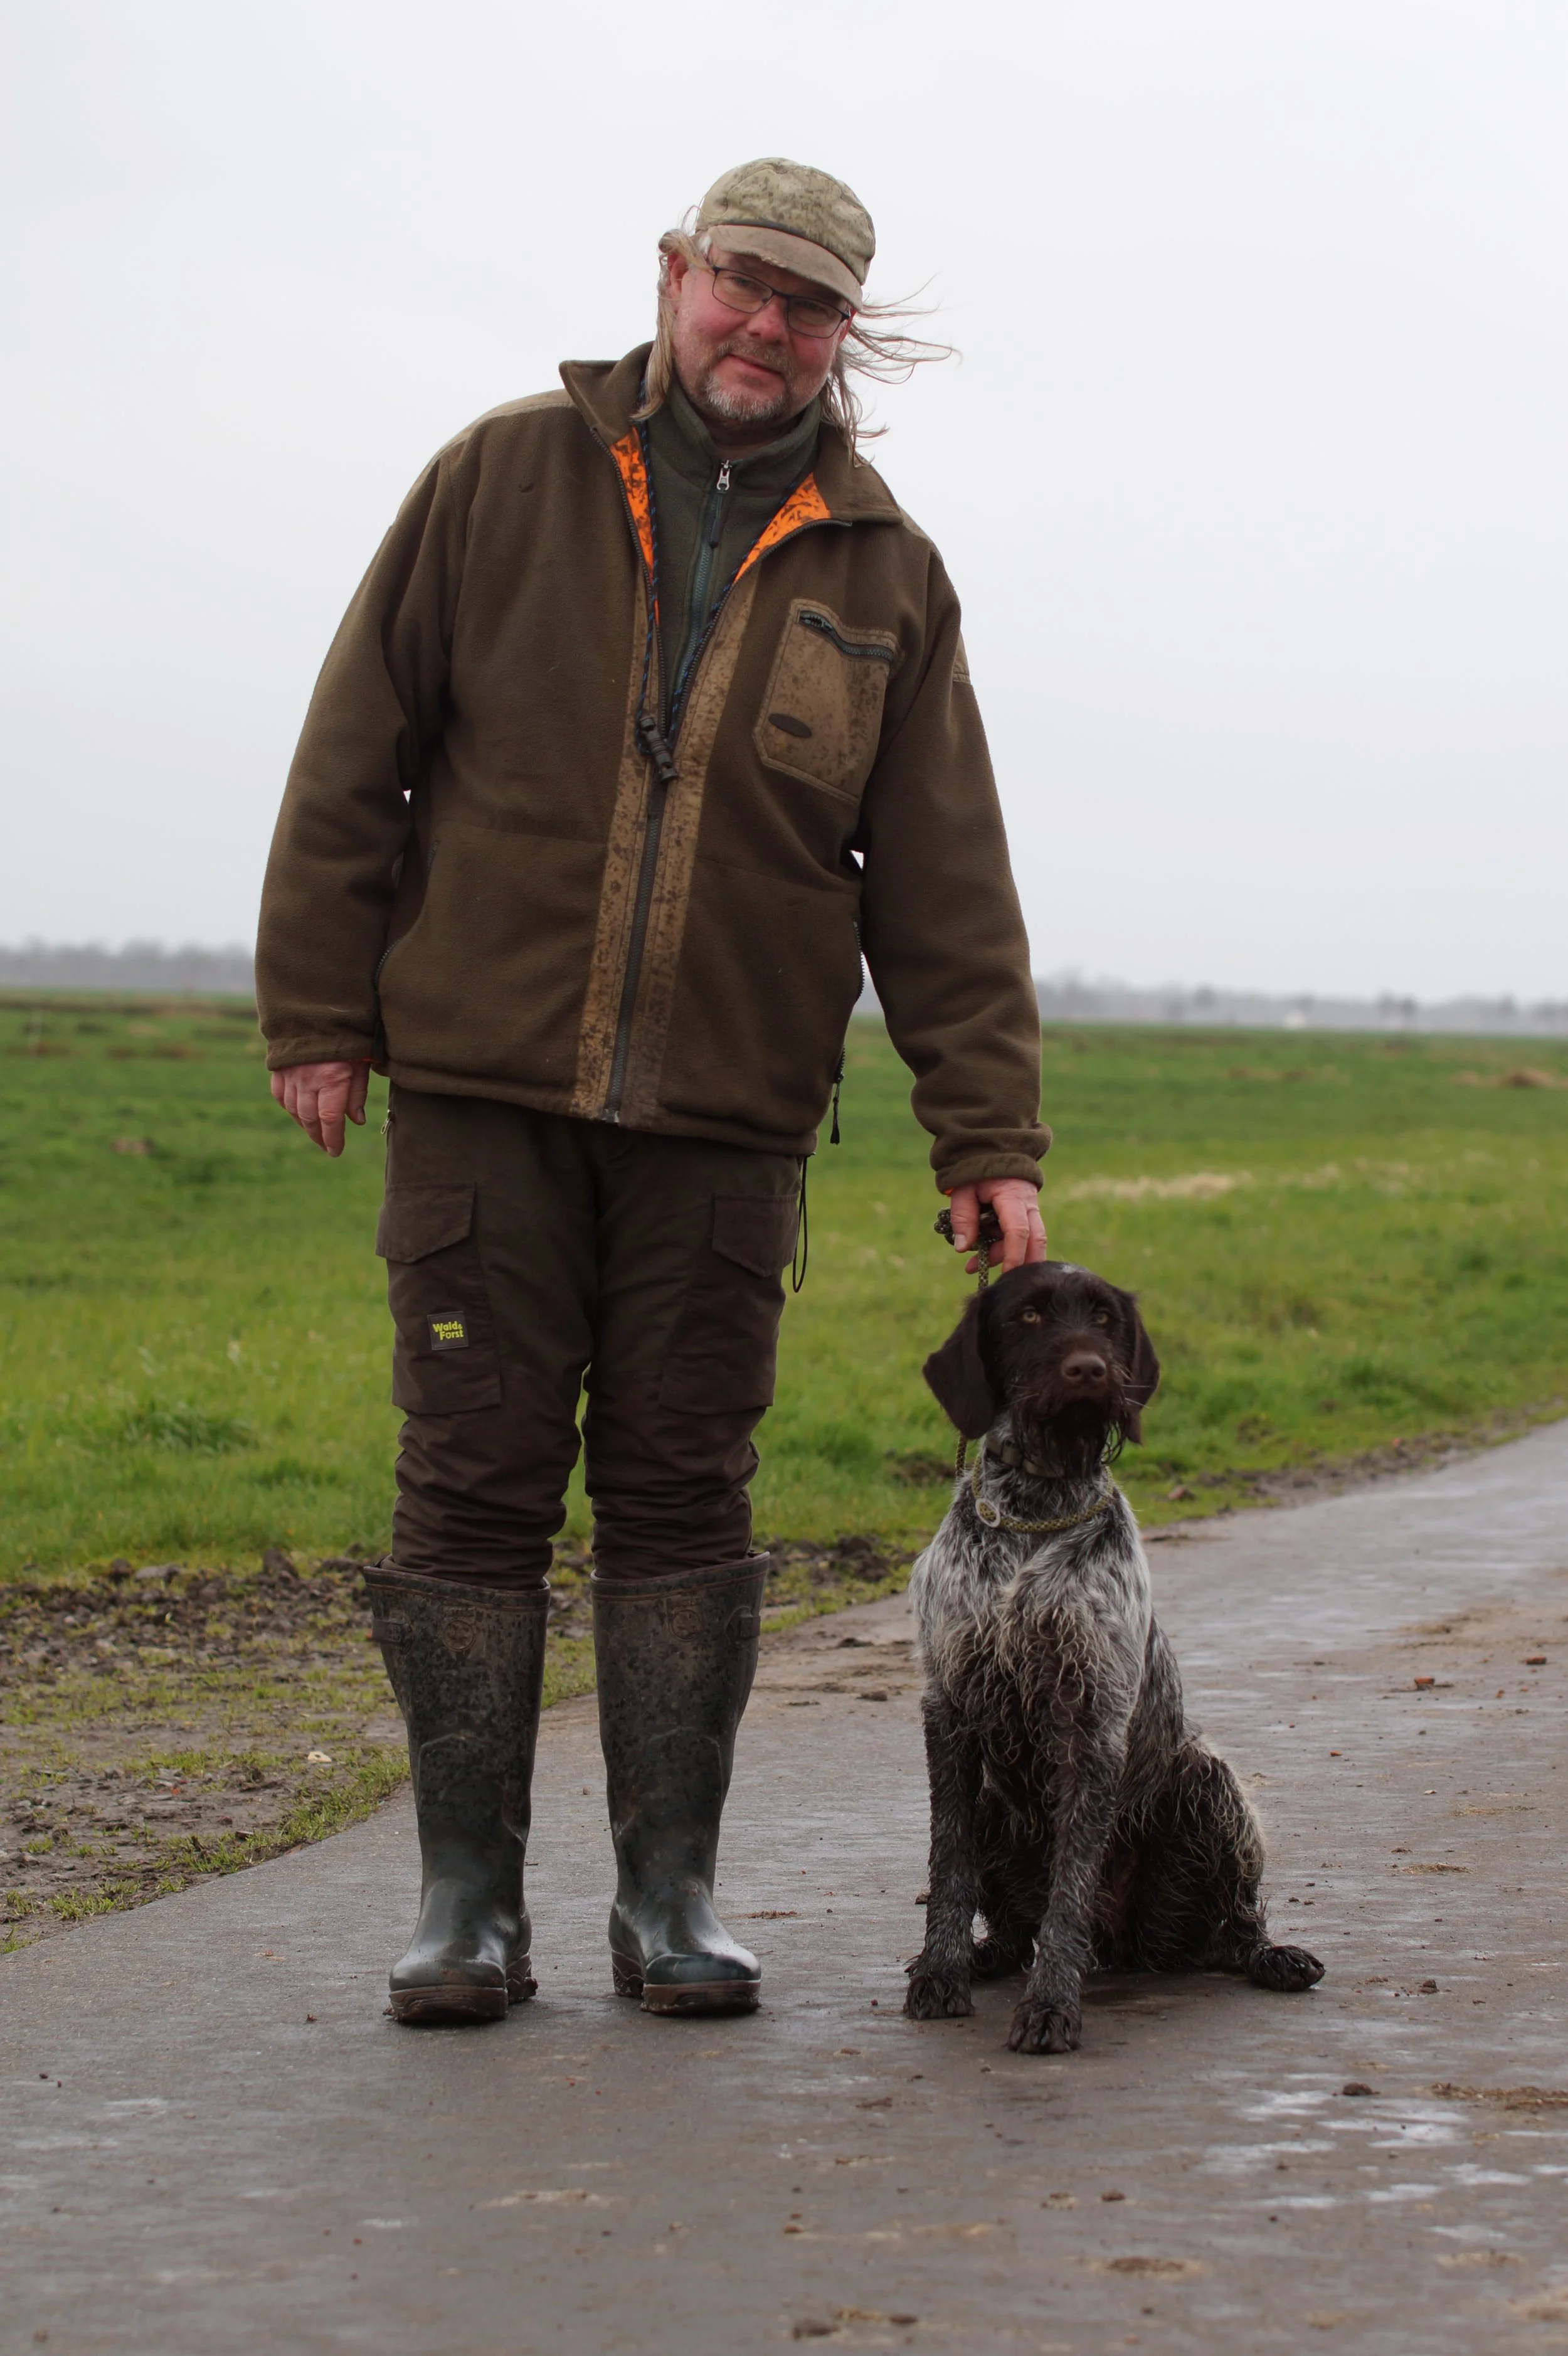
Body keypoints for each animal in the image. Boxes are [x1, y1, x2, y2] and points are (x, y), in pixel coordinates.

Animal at [904, 1259, 1323, 2053]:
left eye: (1103, 1319)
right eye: (1028, 1316)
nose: (1090, 1370)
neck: (1035, 1508)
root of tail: (1128, 1942)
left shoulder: (1092, 1718)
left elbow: (1070, 1888)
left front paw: (1050, 2005)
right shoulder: (950, 1711)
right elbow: (948, 1864)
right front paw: (941, 1973)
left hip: (1208, 1783)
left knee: (1232, 1929)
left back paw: (1273, 1956)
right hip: (997, 1807)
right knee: (1015, 1929)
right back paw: (984, 1956)